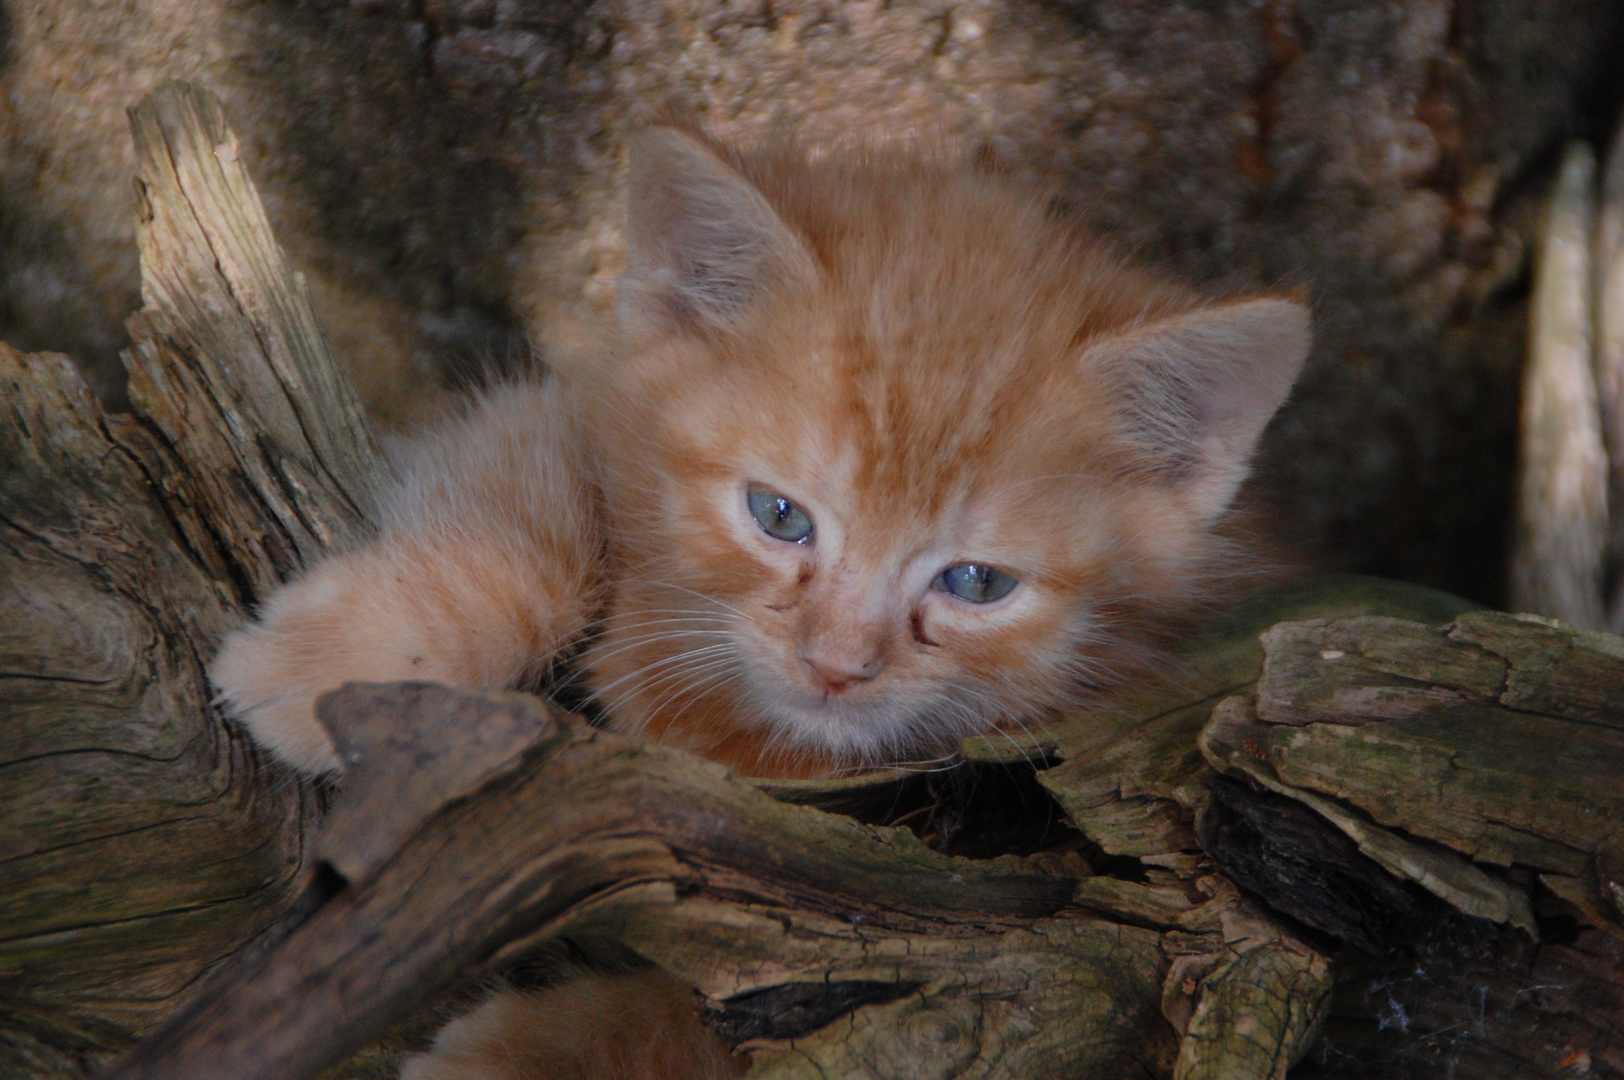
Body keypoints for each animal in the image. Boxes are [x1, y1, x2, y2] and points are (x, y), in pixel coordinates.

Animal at [209, 128, 1312, 1078]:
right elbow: (527, 507)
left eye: (975, 584)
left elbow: (722, 1021)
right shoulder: (586, 401)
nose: (836, 663)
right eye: (779, 517)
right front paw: (337, 662)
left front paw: (519, 1054)